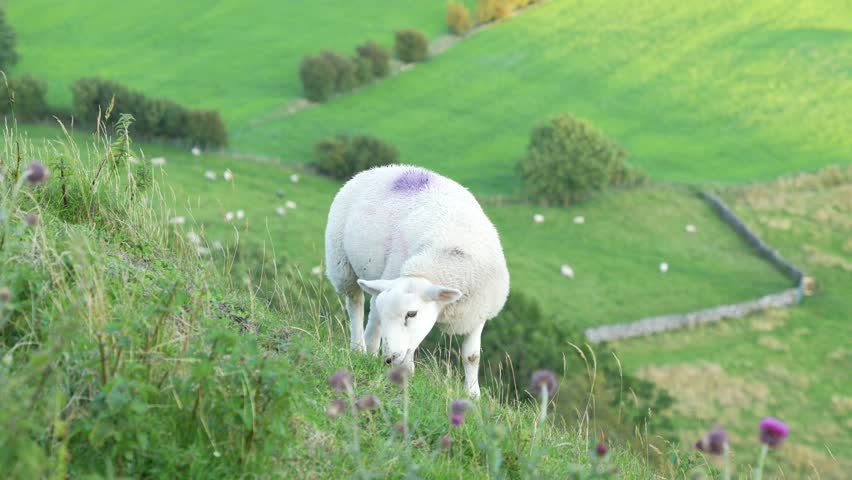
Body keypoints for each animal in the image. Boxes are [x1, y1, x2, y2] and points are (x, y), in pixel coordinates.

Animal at [324, 165, 510, 398]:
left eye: (411, 314)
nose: (389, 358)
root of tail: (378, 169)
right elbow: (396, 341)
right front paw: (404, 372)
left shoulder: (477, 312)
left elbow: (471, 356)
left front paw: (473, 395)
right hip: (343, 265)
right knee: (357, 306)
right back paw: (360, 348)